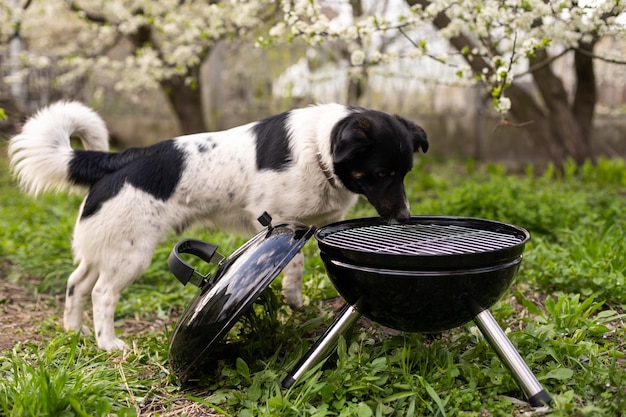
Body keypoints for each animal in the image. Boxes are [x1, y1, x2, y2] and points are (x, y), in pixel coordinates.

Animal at [9, 102, 426, 350]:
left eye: (407, 172)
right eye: (382, 173)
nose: (405, 218)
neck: (318, 148)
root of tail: (118, 159)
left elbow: (299, 266)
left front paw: (294, 301)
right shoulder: (278, 216)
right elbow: (293, 263)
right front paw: (293, 300)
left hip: (107, 248)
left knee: (76, 283)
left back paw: (73, 330)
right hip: (131, 254)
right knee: (101, 294)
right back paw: (108, 343)